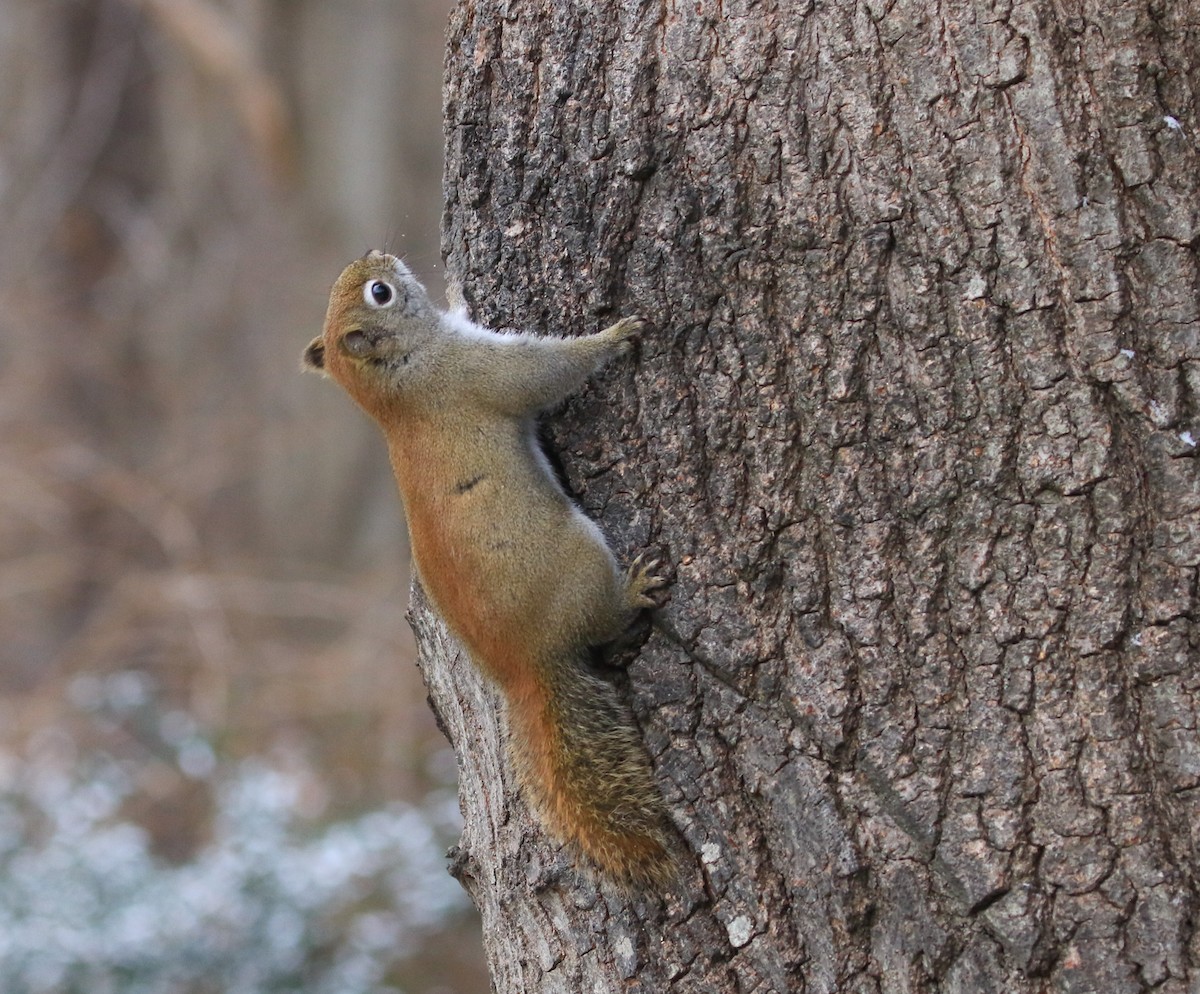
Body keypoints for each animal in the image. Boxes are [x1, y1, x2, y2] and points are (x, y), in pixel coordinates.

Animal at [303, 250, 676, 888]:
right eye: (381, 293)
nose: (379, 255)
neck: (397, 384)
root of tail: (528, 663)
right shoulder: (477, 372)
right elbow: (545, 372)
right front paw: (614, 336)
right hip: (580, 558)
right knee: (603, 618)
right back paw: (633, 590)